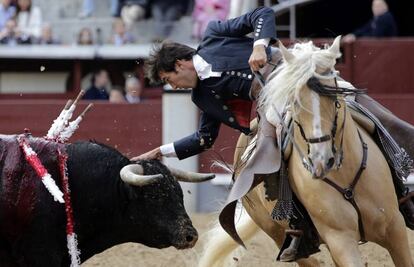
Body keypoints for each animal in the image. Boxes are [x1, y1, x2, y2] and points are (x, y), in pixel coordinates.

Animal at [199, 36, 412, 267]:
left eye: (335, 99)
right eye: (294, 102)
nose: (321, 161)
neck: (345, 176)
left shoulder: (395, 228)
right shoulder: (340, 240)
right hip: (279, 234)